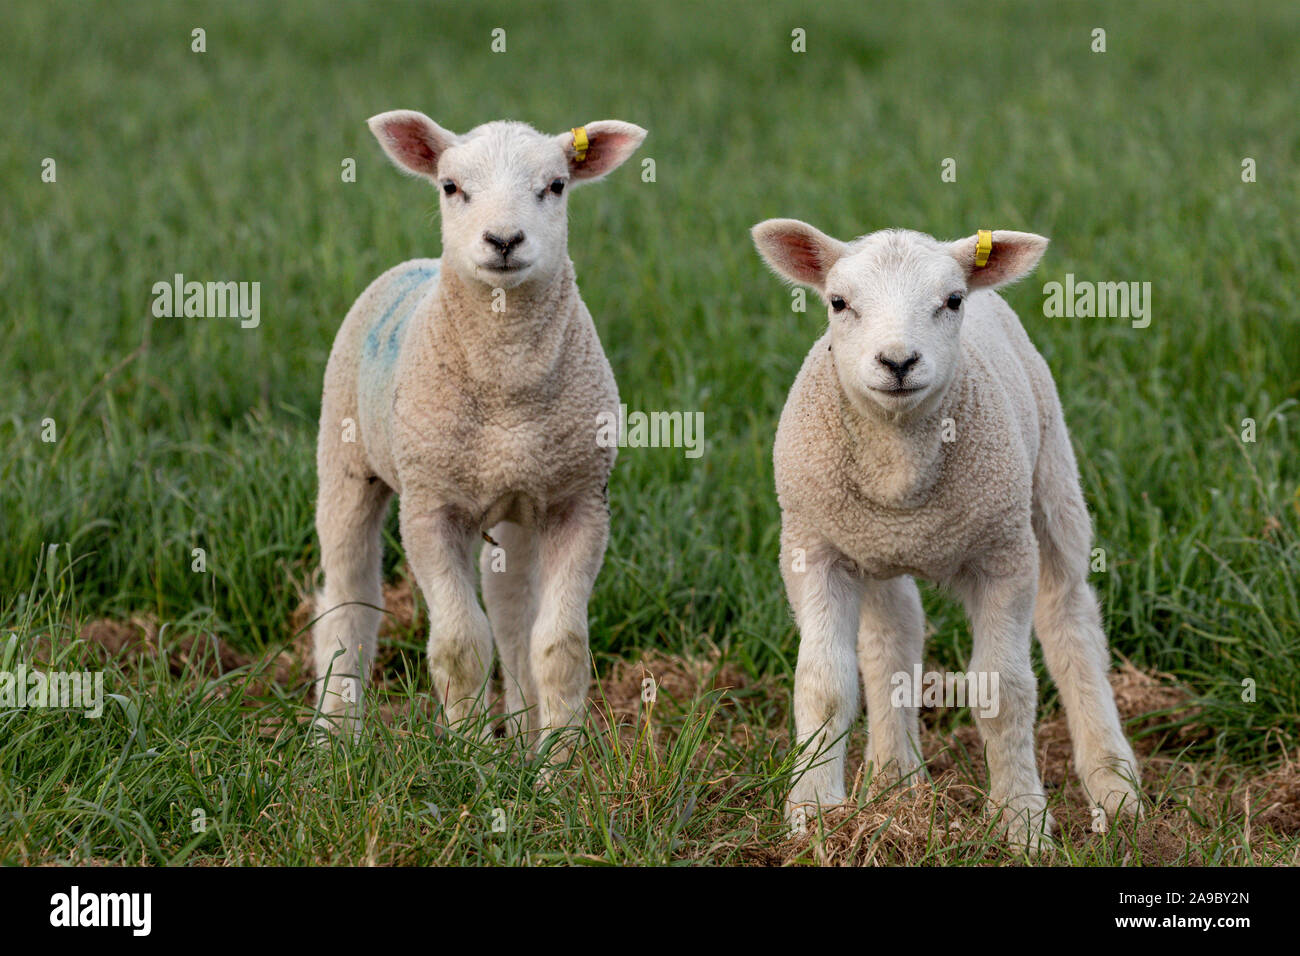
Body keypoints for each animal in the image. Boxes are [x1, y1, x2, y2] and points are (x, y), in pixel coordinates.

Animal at [309, 111, 644, 749]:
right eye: (450, 186)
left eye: (556, 185)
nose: (504, 241)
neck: (507, 388)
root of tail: (414, 263)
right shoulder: (430, 507)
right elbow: (460, 646)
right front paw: (467, 756)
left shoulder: (580, 501)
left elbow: (558, 647)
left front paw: (553, 762)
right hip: (345, 462)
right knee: (348, 597)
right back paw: (334, 733)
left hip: (515, 507)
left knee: (512, 617)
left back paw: (519, 734)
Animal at [754, 221, 1138, 848]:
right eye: (838, 302)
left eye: (952, 300)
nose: (898, 361)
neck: (899, 470)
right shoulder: (816, 549)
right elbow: (824, 685)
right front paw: (813, 814)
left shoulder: (1005, 554)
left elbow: (1003, 692)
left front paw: (1022, 821)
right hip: (875, 548)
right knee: (893, 635)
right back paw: (896, 777)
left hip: (1051, 481)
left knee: (1070, 619)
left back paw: (1113, 783)